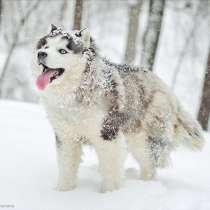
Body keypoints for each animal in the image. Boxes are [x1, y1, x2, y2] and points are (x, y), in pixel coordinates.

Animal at [32, 24, 203, 192]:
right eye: (46, 46)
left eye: (62, 51)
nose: (41, 54)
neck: (73, 94)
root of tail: (169, 92)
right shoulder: (67, 137)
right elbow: (66, 168)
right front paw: (63, 192)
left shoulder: (107, 135)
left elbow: (110, 170)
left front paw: (110, 194)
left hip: (143, 141)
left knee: (149, 167)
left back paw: (147, 187)